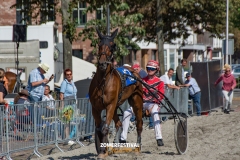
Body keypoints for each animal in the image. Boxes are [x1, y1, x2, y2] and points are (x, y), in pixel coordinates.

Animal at [89, 28, 142, 159]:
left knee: (139, 124)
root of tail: (134, 71)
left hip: (136, 101)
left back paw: (137, 148)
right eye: (99, 44)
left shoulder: (110, 105)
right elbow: (99, 129)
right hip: (116, 106)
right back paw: (115, 145)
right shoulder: (95, 107)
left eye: (113, 46)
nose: (102, 63)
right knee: (118, 123)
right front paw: (103, 149)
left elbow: (105, 128)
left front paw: (103, 152)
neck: (103, 82)